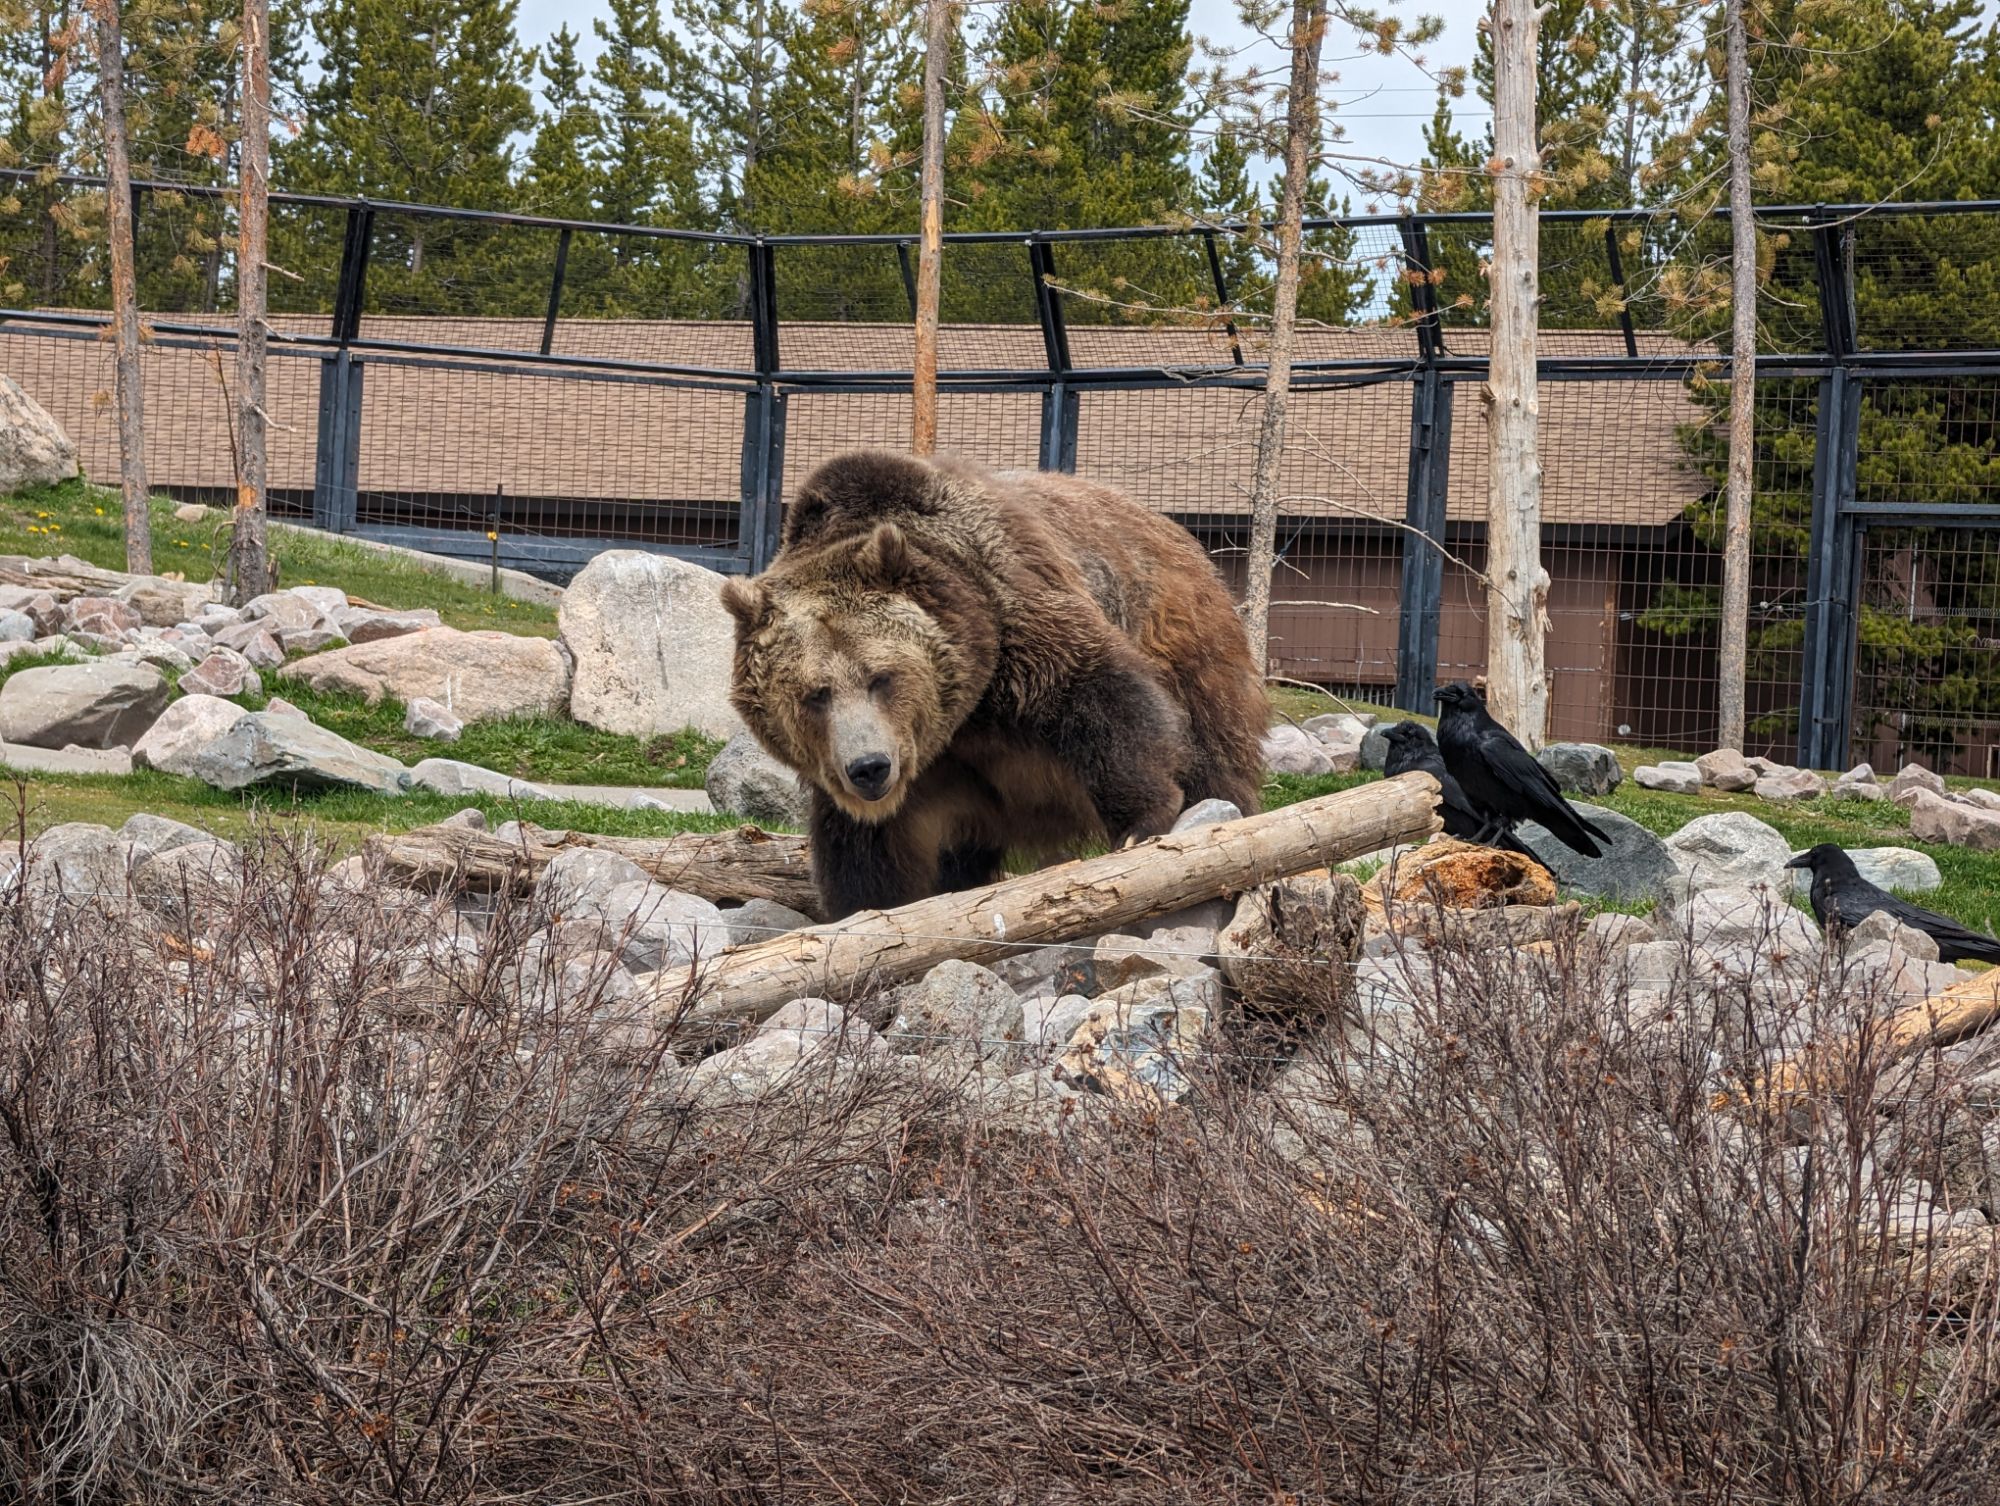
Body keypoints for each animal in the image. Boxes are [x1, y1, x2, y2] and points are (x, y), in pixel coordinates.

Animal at [724, 446, 1264, 916]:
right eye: (815, 694)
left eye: (881, 677)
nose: (870, 767)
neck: (965, 718)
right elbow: (864, 849)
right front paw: (865, 906)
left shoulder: (1013, 614)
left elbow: (1099, 692)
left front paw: (1140, 821)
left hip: (1181, 635)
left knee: (1212, 752)